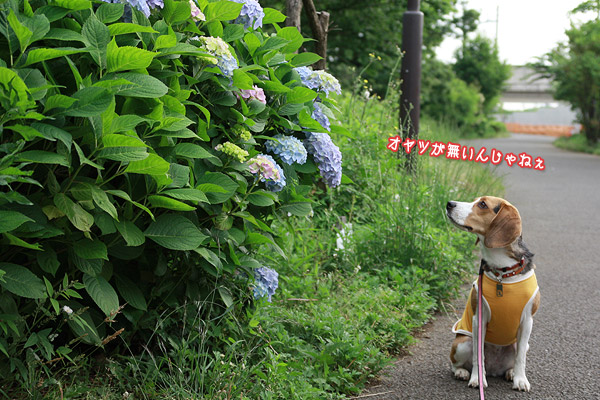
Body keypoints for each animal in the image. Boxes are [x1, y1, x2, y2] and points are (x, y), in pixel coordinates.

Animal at [446, 195, 540, 392]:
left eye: (482, 204)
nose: (449, 204)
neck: (503, 273)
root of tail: (494, 369)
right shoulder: (478, 320)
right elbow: (478, 356)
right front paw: (477, 379)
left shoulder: (527, 321)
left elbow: (521, 358)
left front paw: (520, 380)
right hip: (462, 343)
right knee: (455, 363)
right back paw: (462, 372)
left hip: (519, 343)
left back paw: (511, 373)